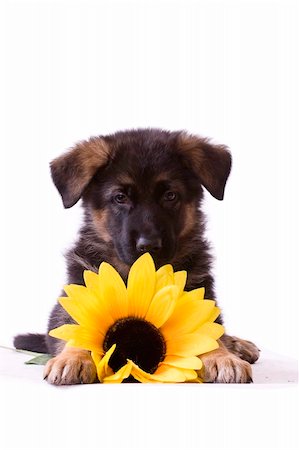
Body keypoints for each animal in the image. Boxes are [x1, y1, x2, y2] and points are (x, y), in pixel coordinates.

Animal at [14, 129, 260, 384]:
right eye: (120, 197)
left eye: (170, 196)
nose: (148, 245)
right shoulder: (77, 296)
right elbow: (74, 329)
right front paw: (72, 358)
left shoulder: (200, 295)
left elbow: (210, 333)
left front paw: (223, 357)